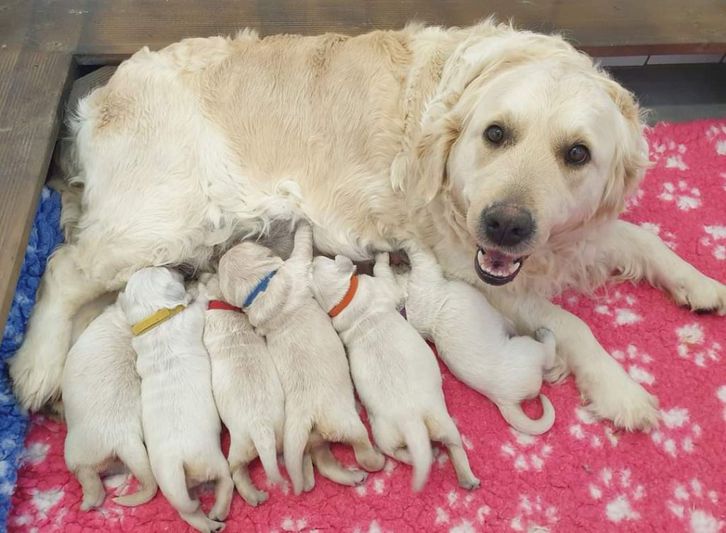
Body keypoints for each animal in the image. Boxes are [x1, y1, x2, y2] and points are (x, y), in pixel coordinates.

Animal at [9, 19, 724, 432]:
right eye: (496, 134)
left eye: (577, 154)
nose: (505, 224)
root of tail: (102, 93)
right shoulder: (477, 271)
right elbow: (571, 324)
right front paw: (622, 388)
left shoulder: (567, 235)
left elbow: (643, 237)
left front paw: (700, 282)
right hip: (168, 220)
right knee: (60, 266)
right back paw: (37, 367)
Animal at [119, 266, 233, 532]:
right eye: (166, 270)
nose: (180, 267)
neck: (157, 320)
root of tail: (177, 464)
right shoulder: (193, 316)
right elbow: (200, 301)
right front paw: (199, 286)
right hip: (214, 461)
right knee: (225, 482)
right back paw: (219, 511)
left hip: (171, 488)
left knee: (190, 513)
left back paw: (210, 524)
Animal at [218, 221, 384, 494]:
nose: (225, 249)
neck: (260, 289)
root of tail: (309, 416)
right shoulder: (295, 268)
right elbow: (303, 247)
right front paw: (304, 226)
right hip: (346, 422)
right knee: (361, 449)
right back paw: (374, 462)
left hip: (305, 439)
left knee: (320, 461)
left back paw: (321, 479)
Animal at [310, 254, 480, 490]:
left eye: (317, 265)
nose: (315, 256)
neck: (343, 300)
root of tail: (411, 422)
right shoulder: (384, 287)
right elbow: (383, 272)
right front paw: (382, 257)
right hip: (441, 422)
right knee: (454, 446)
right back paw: (467, 477)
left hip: (384, 436)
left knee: (401, 453)